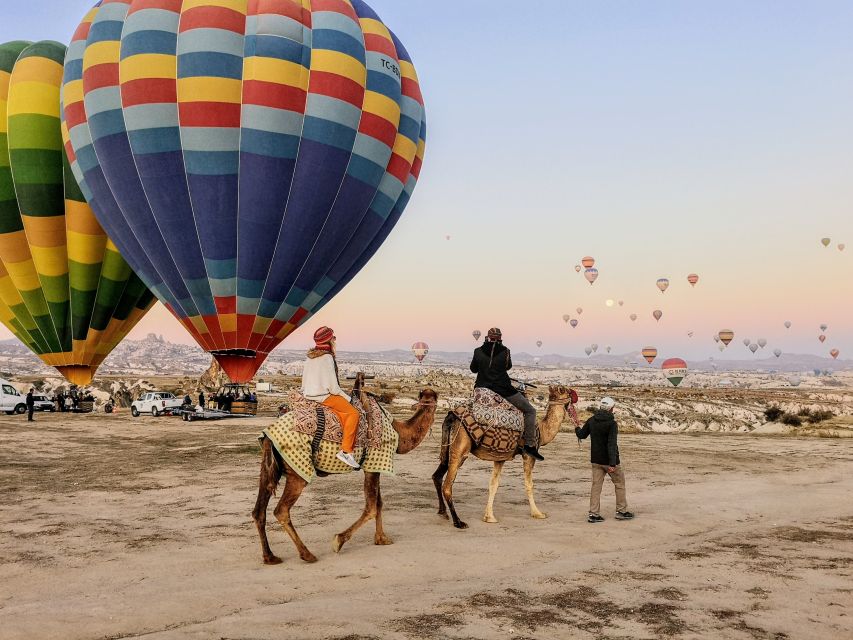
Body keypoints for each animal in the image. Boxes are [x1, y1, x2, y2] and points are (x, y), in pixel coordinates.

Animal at [251, 376, 440, 564]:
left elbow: (379, 503)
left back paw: (269, 556)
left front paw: (381, 539)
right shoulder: (374, 463)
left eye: (430, 398)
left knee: (259, 510)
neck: (399, 432)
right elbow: (371, 507)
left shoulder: (374, 466)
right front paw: (338, 541)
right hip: (297, 470)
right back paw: (307, 554)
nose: (428, 402)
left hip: (269, 469)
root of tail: (268, 435)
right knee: (281, 510)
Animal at [430, 384, 576, 528]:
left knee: (437, 476)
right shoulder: (528, 454)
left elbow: (493, 484)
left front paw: (489, 517)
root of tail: (451, 417)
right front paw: (538, 513)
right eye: (565, 390)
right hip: (460, 449)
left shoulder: (500, 456)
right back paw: (458, 522)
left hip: (447, 448)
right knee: (447, 485)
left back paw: (443, 512)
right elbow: (529, 484)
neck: (542, 429)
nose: (574, 396)